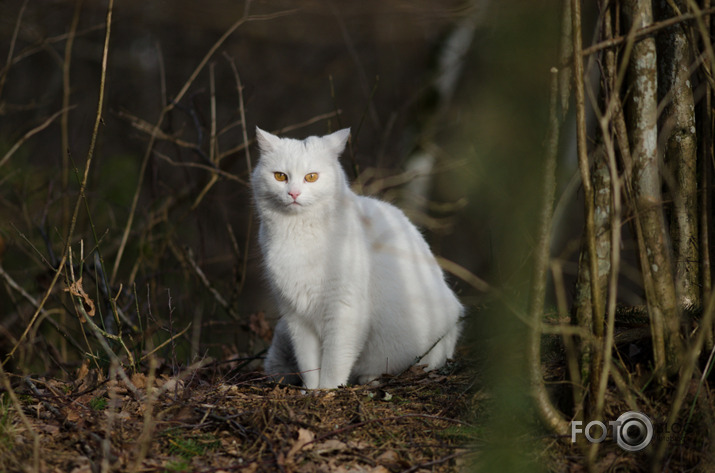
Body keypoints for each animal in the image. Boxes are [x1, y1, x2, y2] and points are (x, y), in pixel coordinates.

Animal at [252, 126, 464, 388]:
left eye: (311, 177)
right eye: (280, 176)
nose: (293, 193)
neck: (298, 234)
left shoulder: (344, 309)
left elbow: (334, 361)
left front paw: (328, 390)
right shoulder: (296, 316)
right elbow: (309, 363)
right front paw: (311, 391)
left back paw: (371, 378)